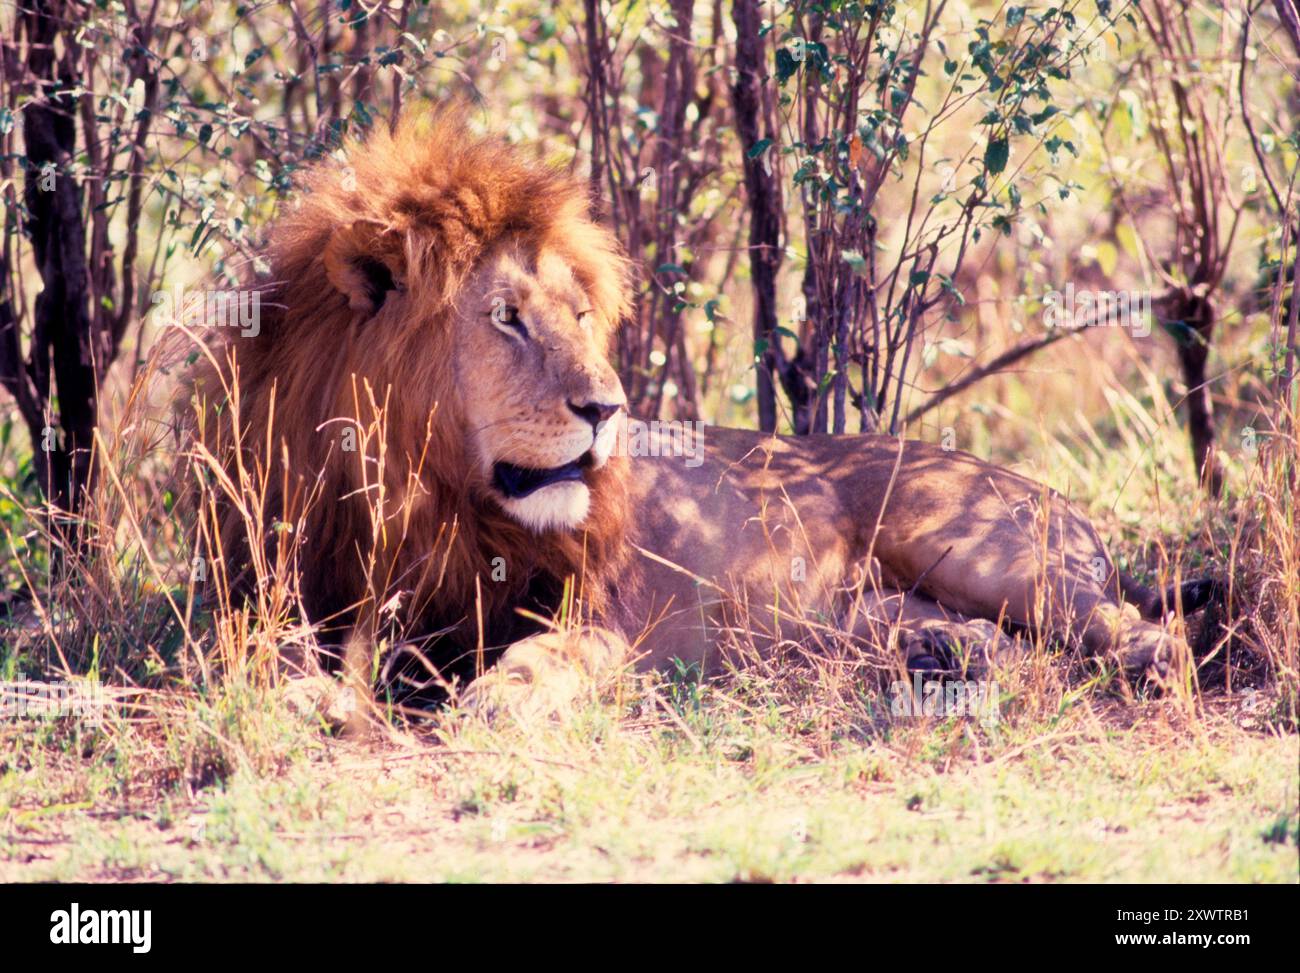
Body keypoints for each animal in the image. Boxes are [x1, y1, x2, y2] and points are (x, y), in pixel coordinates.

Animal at [185, 112, 1215, 722]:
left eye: (581, 313)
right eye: (506, 317)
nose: (606, 409)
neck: (428, 494)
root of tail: (1065, 504)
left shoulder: (605, 616)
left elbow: (538, 659)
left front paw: (488, 702)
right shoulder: (285, 587)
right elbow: (271, 652)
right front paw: (303, 699)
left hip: (980, 545)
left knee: (1137, 631)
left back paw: (1138, 673)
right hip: (861, 610)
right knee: (984, 640)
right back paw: (945, 654)